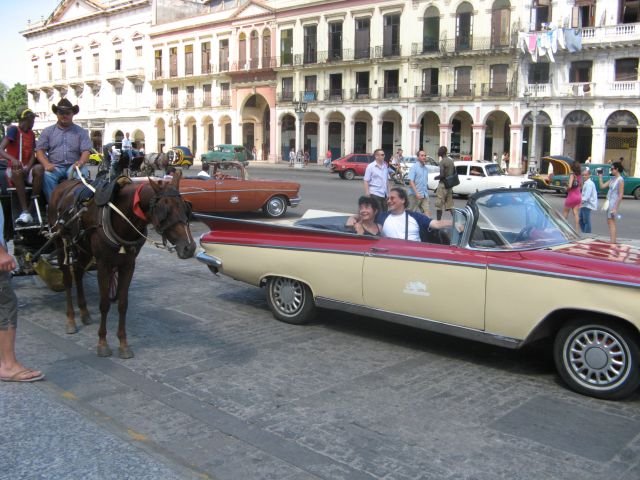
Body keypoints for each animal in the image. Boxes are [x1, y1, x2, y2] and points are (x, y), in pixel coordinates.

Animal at [48, 171, 195, 358]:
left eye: (186, 208)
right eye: (164, 211)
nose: (189, 247)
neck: (121, 217)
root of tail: (62, 185)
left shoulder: (128, 265)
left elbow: (123, 304)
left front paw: (123, 344)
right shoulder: (103, 265)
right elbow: (104, 304)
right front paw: (103, 343)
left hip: (84, 248)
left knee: (79, 272)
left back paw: (84, 312)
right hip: (61, 243)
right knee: (68, 278)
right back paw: (71, 319)